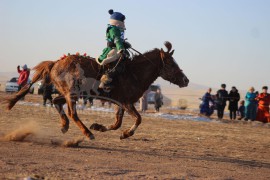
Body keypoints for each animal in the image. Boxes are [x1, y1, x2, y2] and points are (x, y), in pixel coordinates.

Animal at [5, 41, 189, 141]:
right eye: (171, 63)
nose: (186, 80)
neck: (134, 73)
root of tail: (55, 63)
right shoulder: (126, 102)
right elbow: (138, 119)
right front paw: (126, 133)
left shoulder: (120, 103)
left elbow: (117, 123)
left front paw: (99, 127)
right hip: (72, 94)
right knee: (72, 113)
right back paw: (87, 133)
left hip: (69, 94)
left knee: (56, 102)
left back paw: (65, 126)